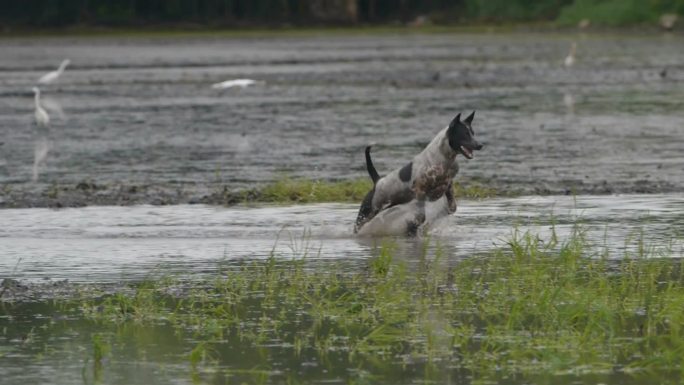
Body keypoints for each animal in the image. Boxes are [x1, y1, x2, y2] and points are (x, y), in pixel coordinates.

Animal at [352, 109, 480, 232]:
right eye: (465, 134)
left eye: (473, 133)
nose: (480, 145)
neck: (443, 159)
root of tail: (378, 181)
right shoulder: (420, 191)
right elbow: (421, 215)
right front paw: (414, 226)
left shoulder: (448, 186)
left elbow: (452, 208)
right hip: (368, 212)